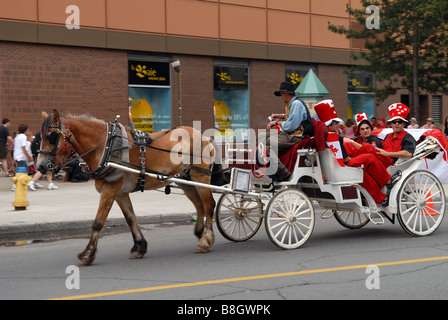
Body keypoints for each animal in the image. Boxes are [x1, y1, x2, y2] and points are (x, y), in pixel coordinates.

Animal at [37, 110, 216, 264]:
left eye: (51, 136)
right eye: (40, 138)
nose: (40, 166)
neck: (106, 146)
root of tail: (203, 136)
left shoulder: (109, 191)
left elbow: (98, 223)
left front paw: (87, 254)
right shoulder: (120, 193)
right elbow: (131, 219)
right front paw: (139, 247)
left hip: (200, 176)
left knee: (209, 205)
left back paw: (205, 240)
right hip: (185, 180)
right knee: (199, 205)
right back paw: (200, 233)